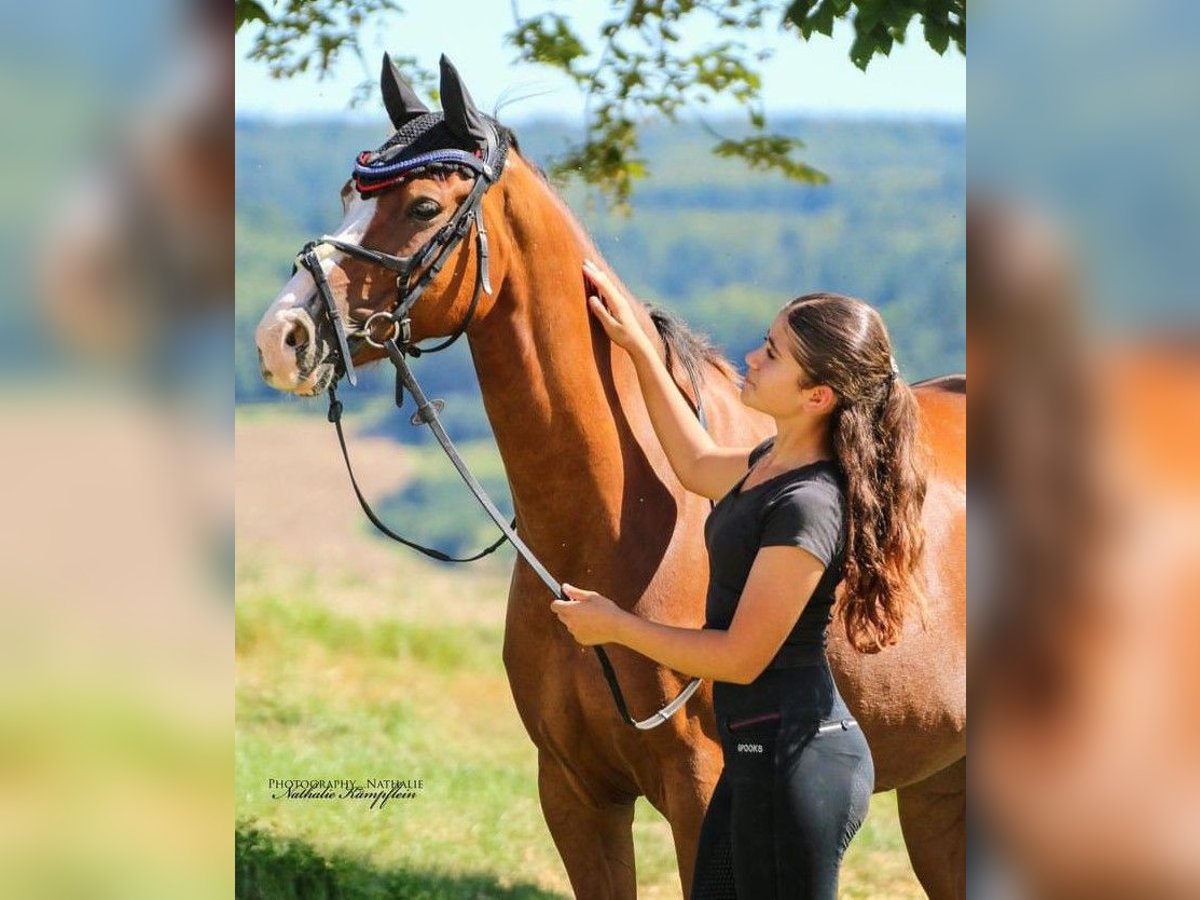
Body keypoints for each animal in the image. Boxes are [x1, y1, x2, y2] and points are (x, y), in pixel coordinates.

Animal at [253, 58, 964, 900]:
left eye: (422, 205)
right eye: (346, 196)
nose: (282, 337)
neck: (618, 524)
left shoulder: (699, 793)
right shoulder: (573, 791)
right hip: (937, 795)